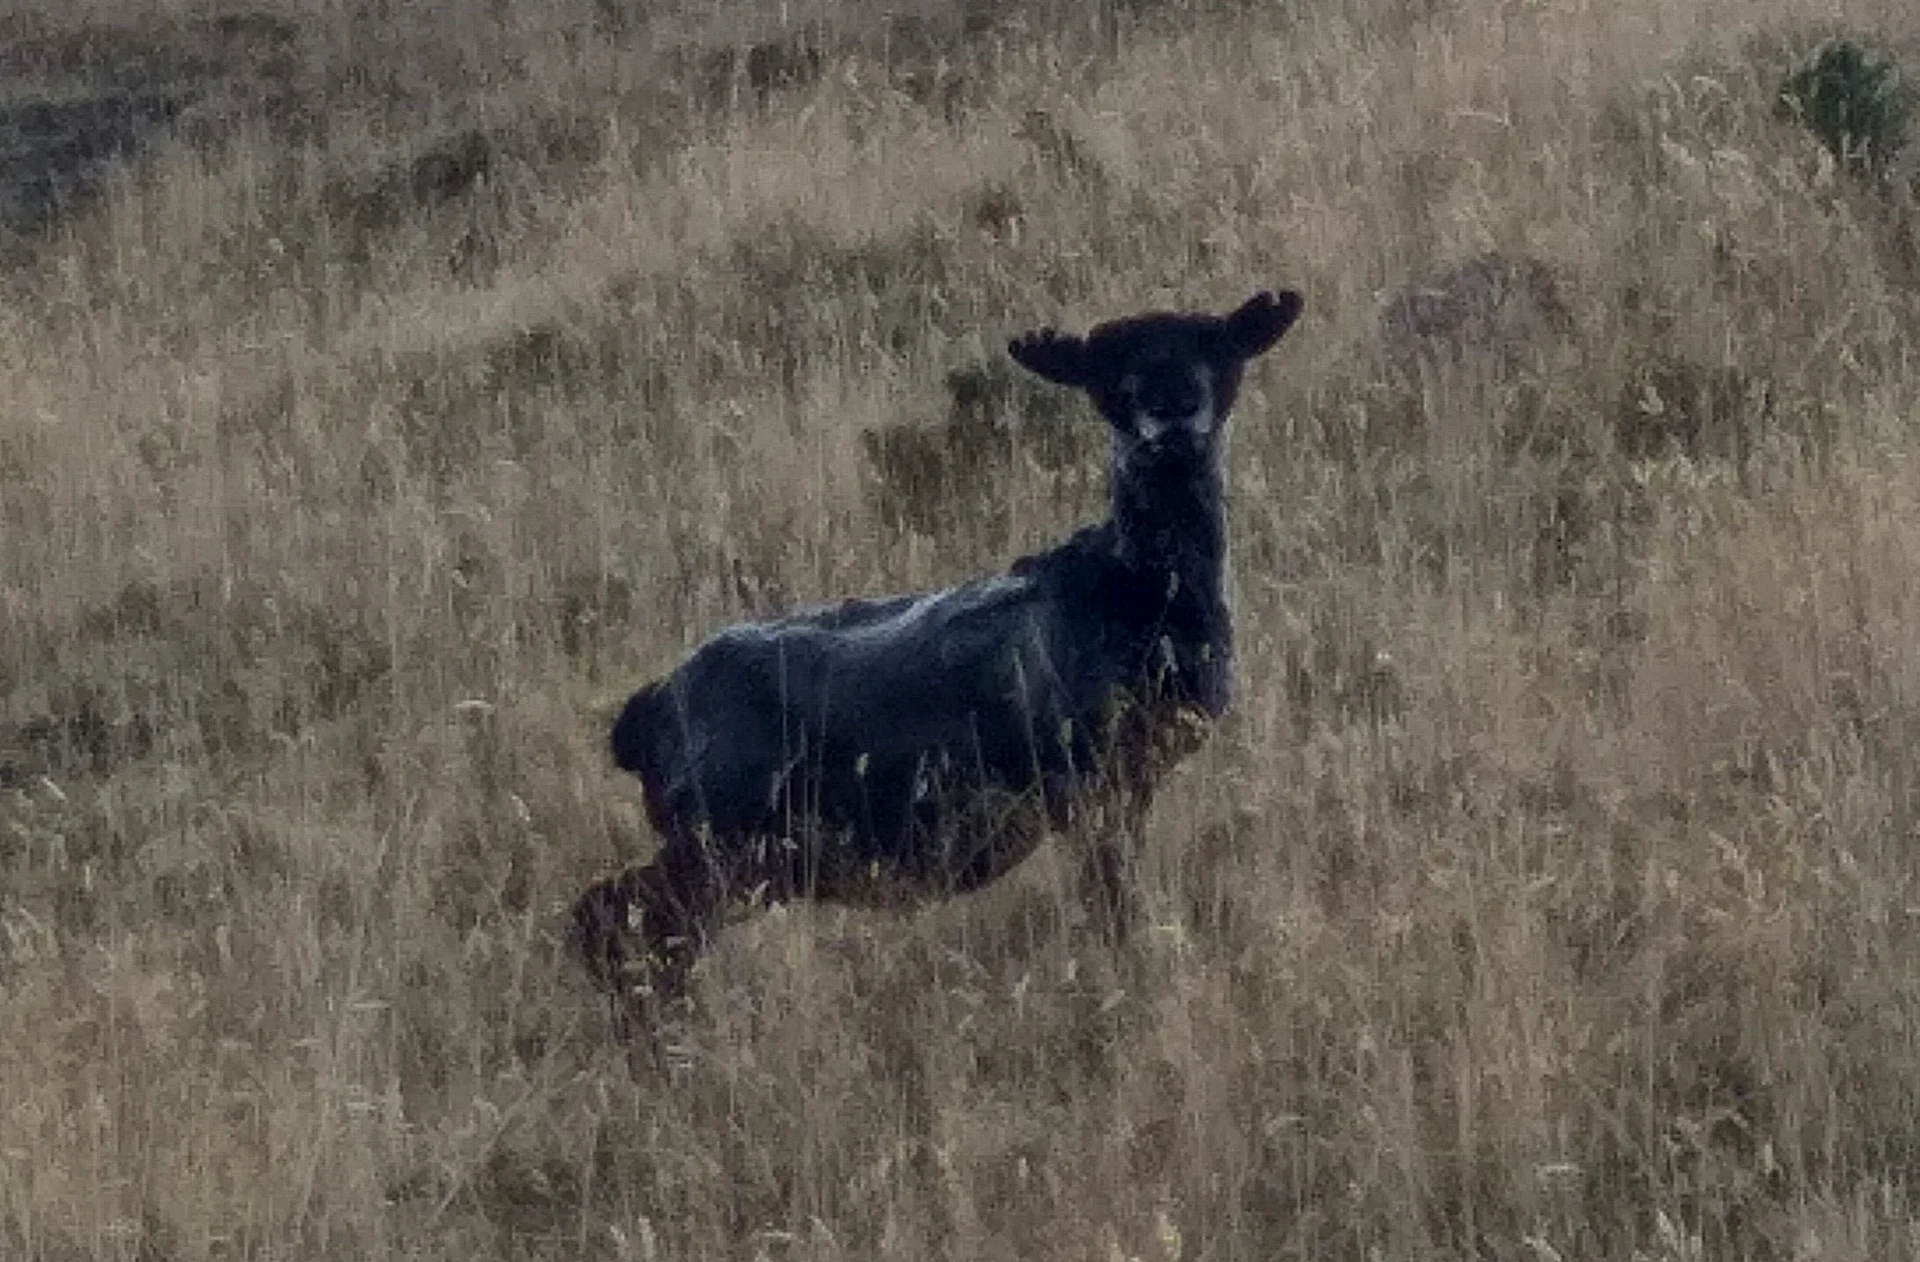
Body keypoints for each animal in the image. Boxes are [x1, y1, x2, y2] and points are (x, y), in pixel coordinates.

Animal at [569, 288, 1305, 1017]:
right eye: (1107, 373)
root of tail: (647, 709)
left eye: (1217, 349)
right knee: (615, 918)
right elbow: (1114, 903)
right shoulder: (1098, 787)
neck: (1134, 585)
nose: (1172, 409)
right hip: (725, 844)